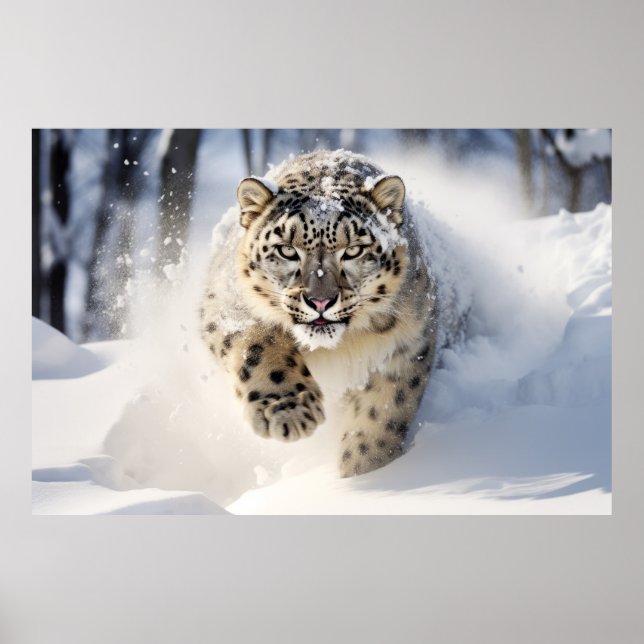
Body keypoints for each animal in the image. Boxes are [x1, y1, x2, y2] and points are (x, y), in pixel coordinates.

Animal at [200, 149, 461, 477]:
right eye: (287, 250)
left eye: (353, 251)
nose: (320, 301)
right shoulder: (227, 307)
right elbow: (260, 345)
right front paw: (290, 412)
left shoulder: (411, 340)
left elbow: (385, 410)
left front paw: (364, 470)